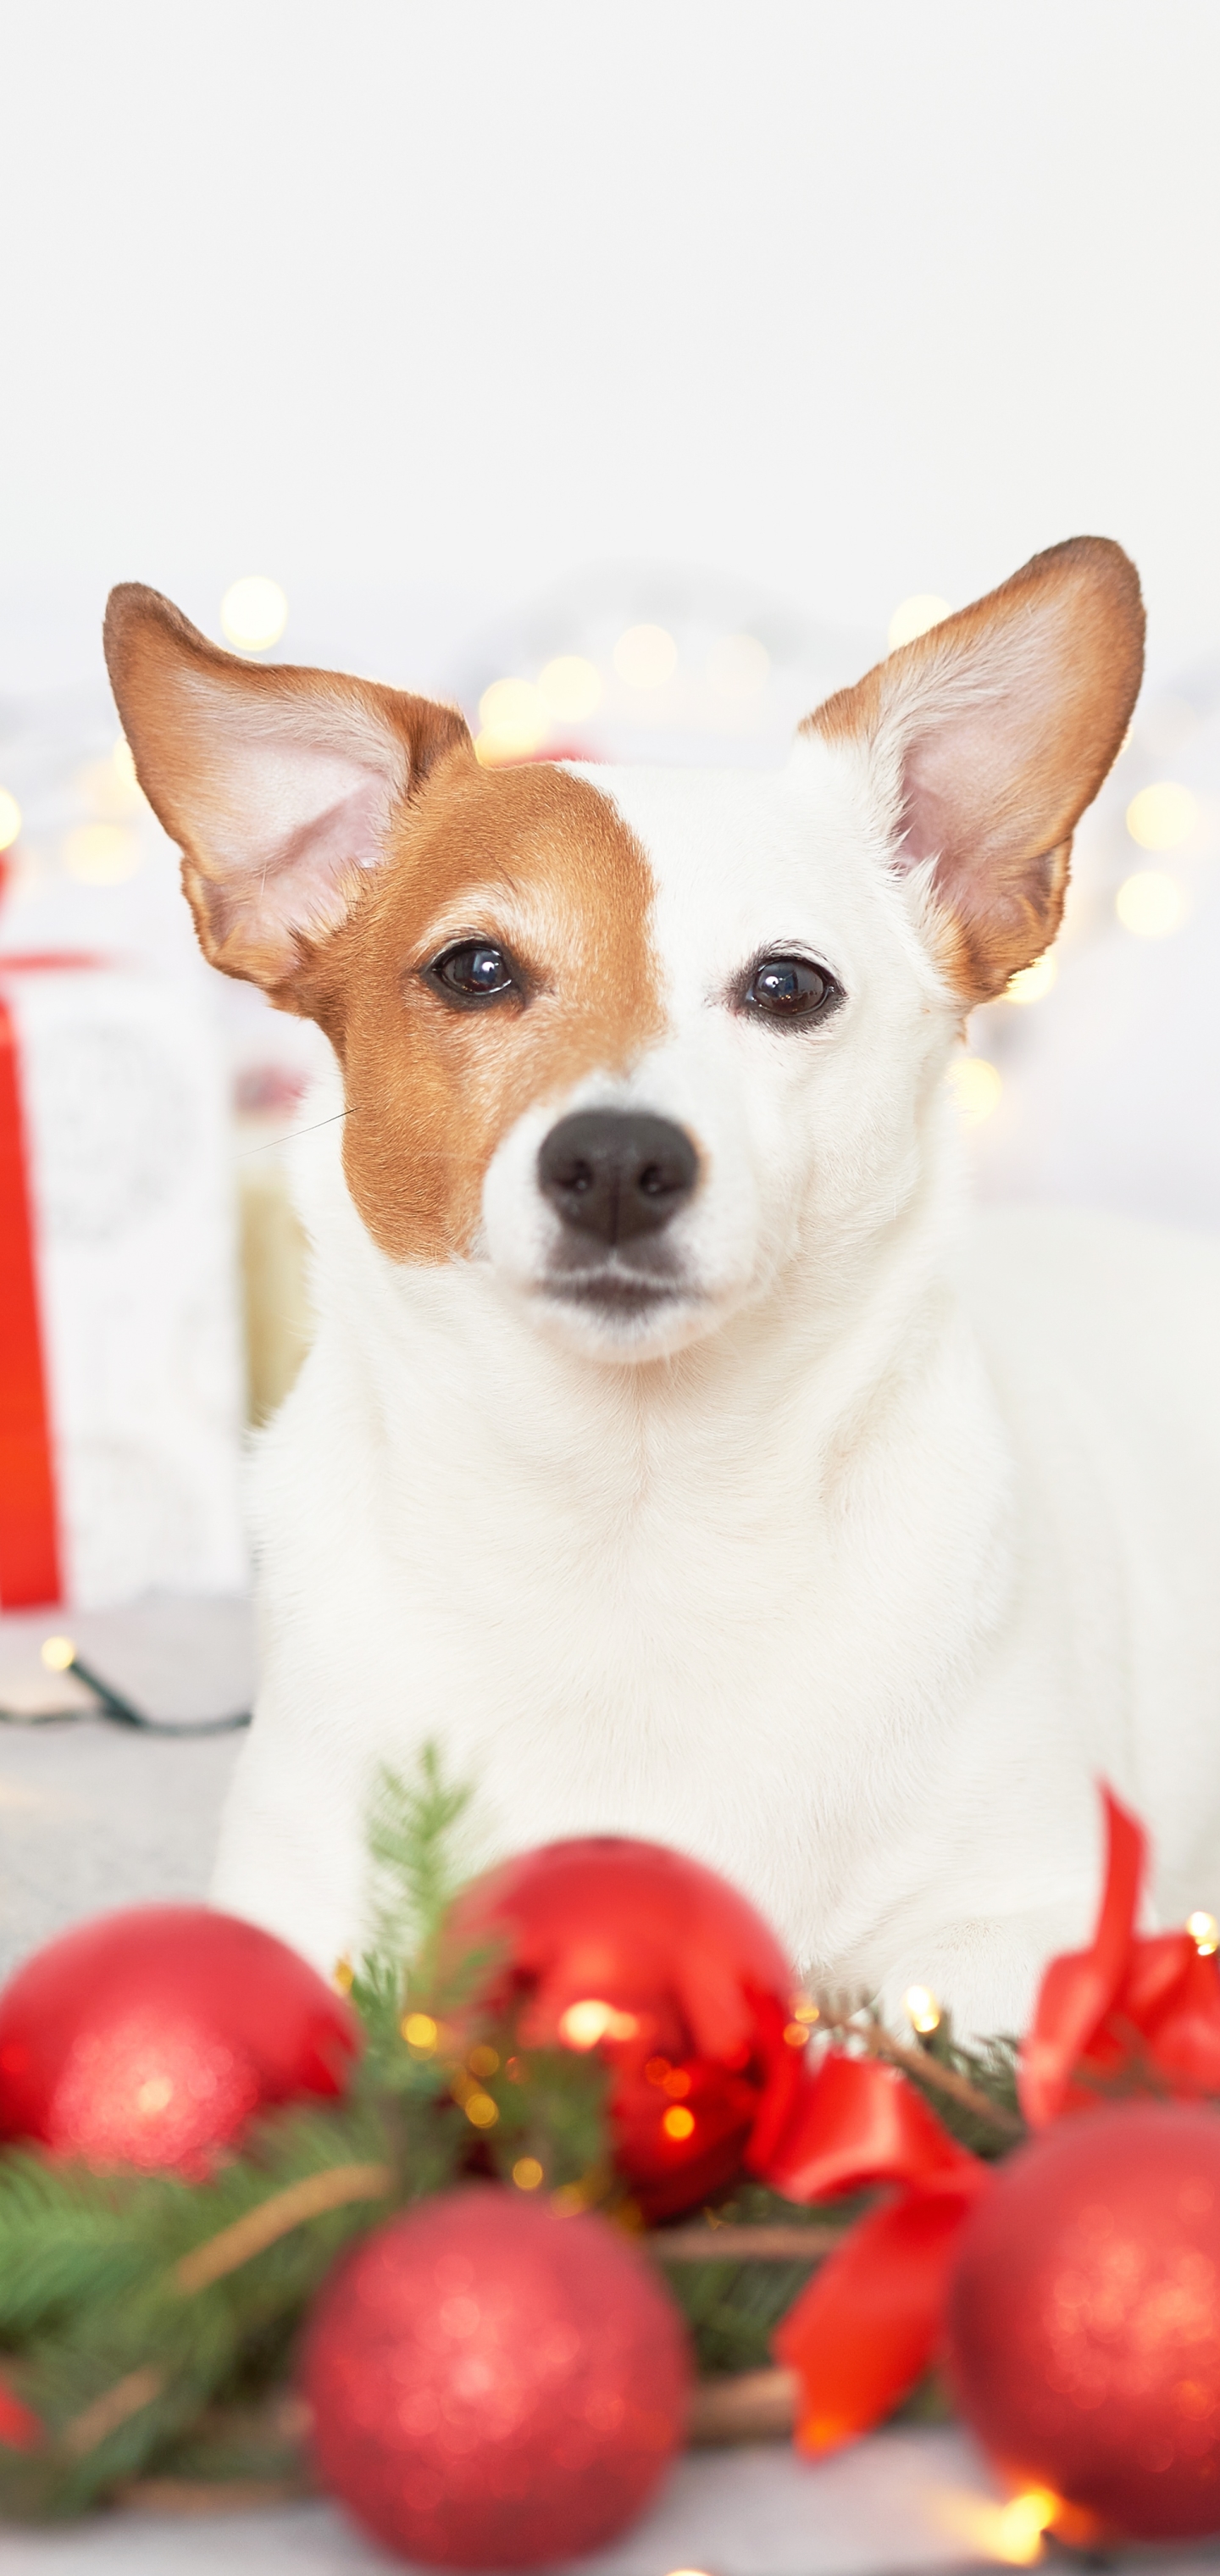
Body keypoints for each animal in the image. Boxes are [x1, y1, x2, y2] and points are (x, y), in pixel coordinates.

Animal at [102, 538, 1220, 2029]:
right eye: (475, 969)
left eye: (789, 988)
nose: (619, 1163)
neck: (633, 1524)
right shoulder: (296, 1899)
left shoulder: (1032, 1925)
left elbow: (890, 2020)